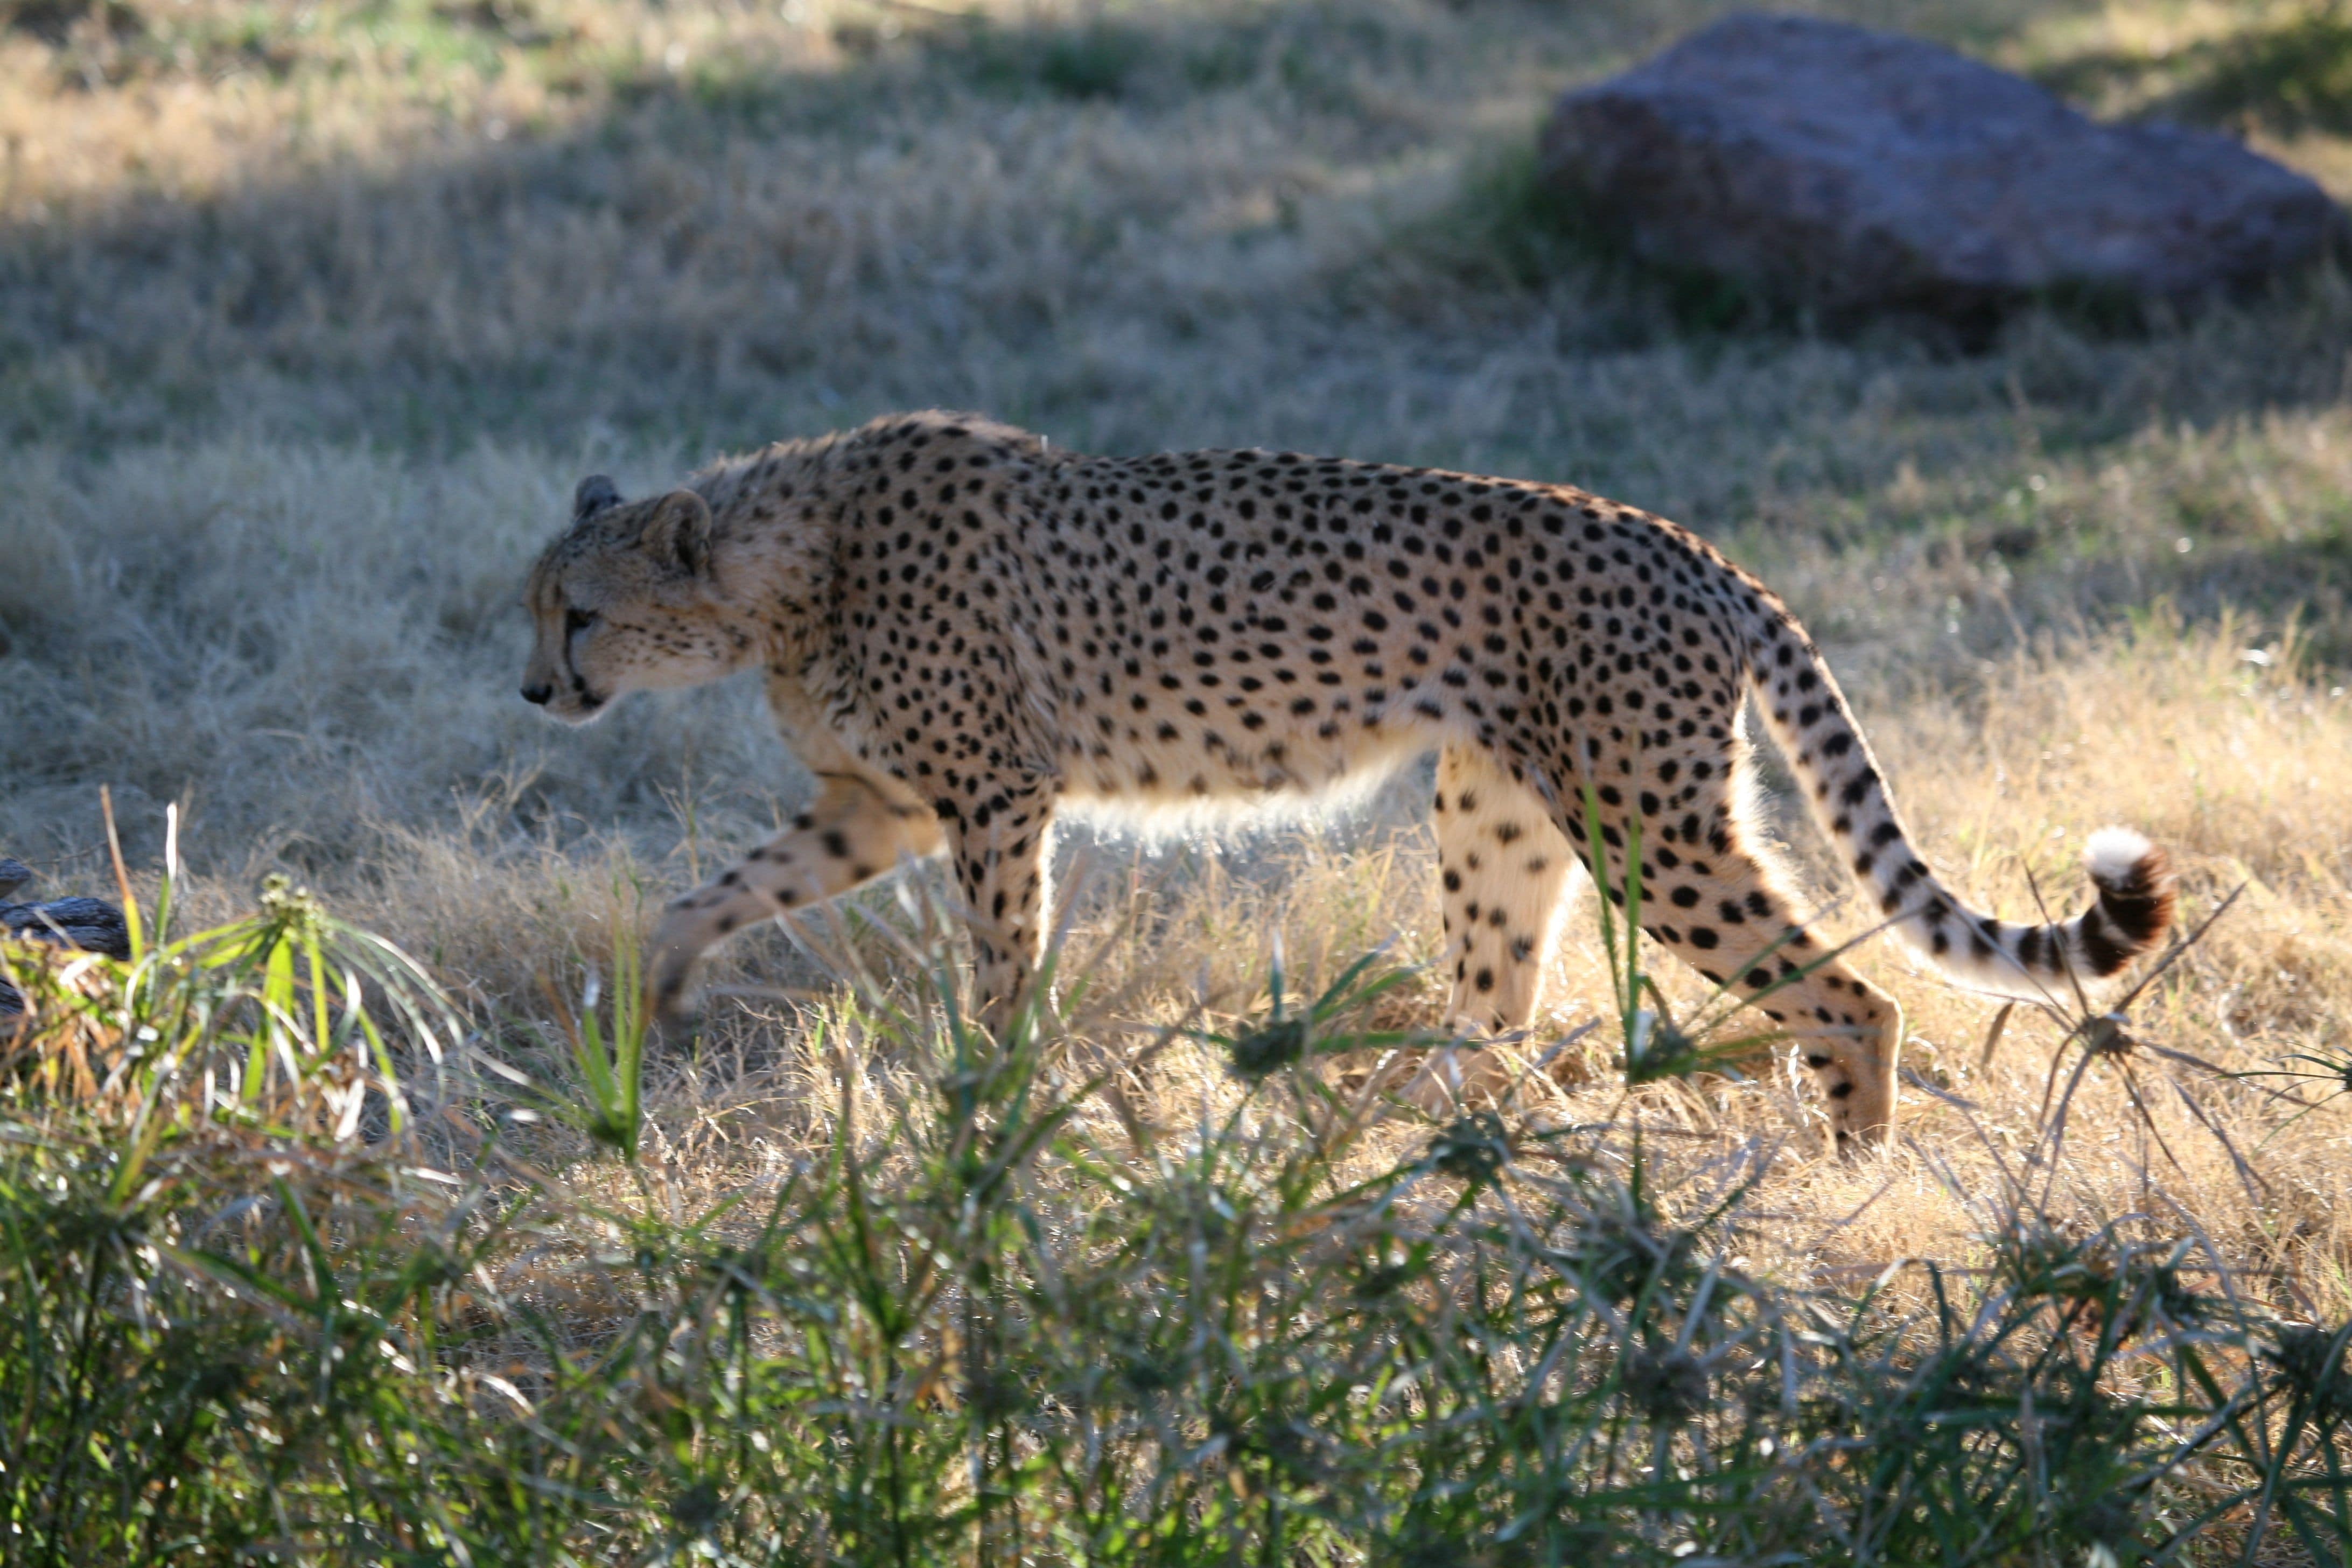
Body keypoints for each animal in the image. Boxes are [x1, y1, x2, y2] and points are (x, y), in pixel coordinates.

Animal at [524, 411, 2173, 1147]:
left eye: (579, 612)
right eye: (535, 609)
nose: (538, 691)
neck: (781, 564)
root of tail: (1681, 539)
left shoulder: (992, 801)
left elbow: (1002, 961)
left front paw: (986, 1103)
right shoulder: (875, 807)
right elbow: (712, 894)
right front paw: (655, 995)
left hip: (1650, 828)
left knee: (1853, 997)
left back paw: (1846, 1169)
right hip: (1501, 813)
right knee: (1497, 1017)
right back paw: (1402, 1139)